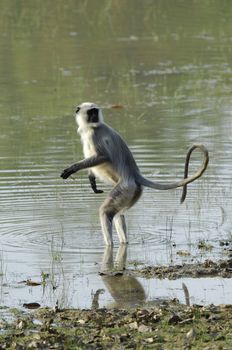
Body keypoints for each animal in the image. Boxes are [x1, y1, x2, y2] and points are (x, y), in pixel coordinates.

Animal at [60, 102, 209, 246]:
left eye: (95, 111)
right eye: (91, 112)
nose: (94, 117)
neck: (92, 126)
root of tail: (134, 174)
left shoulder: (93, 134)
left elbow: (104, 156)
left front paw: (73, 168)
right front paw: (92, 181)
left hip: (125, 187)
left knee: (106, 212)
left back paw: (109, 245)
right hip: (132, 192)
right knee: (118, 214)